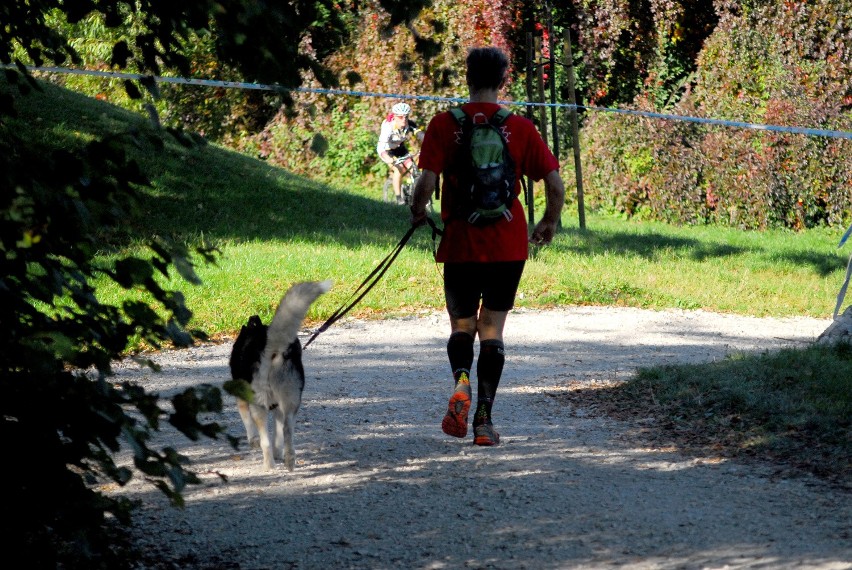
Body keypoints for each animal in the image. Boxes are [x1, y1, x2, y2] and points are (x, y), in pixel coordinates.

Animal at [228, 280, 332, 470]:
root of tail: (271, 347)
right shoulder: (277, 407)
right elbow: (277, 433)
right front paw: (278, 453)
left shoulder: (244, 400)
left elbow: (248, 424)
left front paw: (254, 441)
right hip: (291, 399)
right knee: (287, 430)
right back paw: (289, 459)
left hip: (260, 404)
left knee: (266, 441)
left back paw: (268, 465)